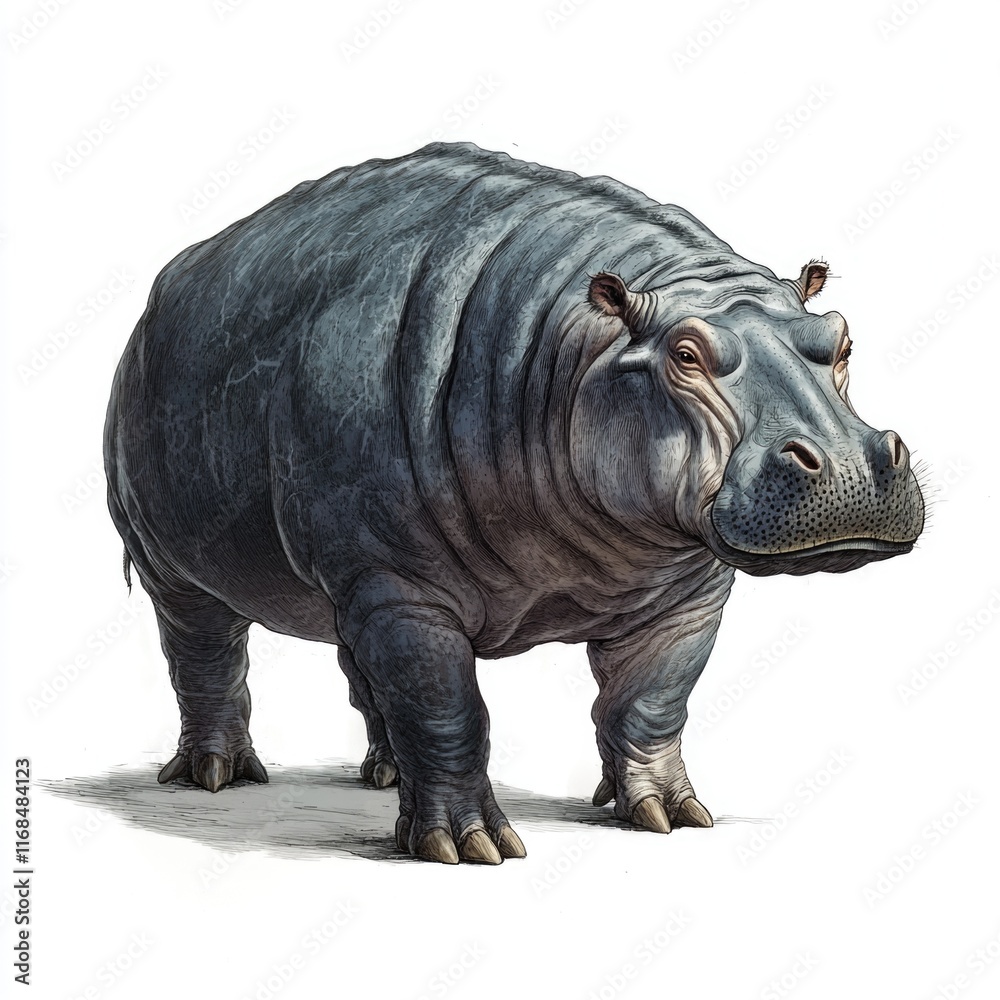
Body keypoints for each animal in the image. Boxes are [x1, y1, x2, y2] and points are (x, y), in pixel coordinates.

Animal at [104, 142, 924, 864]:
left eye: (841, 338)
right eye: (685, 354)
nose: (849, 462)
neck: (578, 348)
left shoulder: (688, 595)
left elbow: (650, 701)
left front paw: (672, 815)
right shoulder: (403, 587)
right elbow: (446, 709)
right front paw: (466, 848)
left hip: (349, 588)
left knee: (362, 672)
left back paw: (386, 778)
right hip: (176, 563)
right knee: (205, 653)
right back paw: (218, 777)